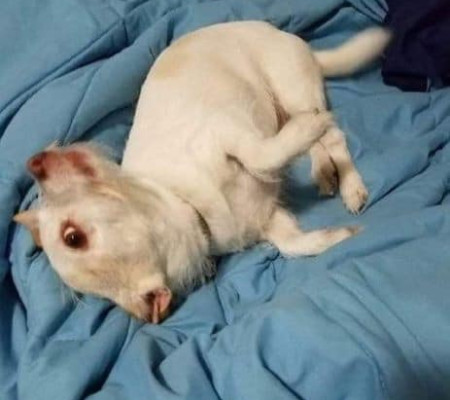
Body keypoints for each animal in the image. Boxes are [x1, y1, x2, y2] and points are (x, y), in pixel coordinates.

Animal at [14, 21, 390, 323]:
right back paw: (324, 171)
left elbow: (262, 156)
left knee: (333, 135)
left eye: (71, 236)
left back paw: (350, 183)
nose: (34, 162)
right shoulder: (269, 220)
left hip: (290, 87)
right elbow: (294, 244)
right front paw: (339, 236)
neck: (191, 207)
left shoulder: (230, 132)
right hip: (288, 104)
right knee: (319, 142)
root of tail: (291, 38)